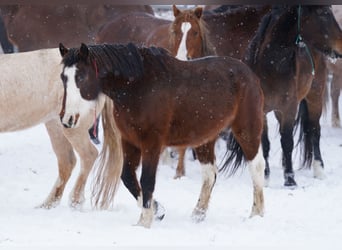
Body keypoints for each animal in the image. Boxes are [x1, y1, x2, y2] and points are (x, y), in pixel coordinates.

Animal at [0, 48, 106, 209]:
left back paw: (75, 201)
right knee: (67, 161)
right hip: (55, 124)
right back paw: (47, 205)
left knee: (89, 155)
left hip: (73, 126)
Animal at [58, 43, 266, 229]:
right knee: (210, 174)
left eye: (81, 76)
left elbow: (147, 180)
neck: (136, 87)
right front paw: (157, 210)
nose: (66, 118)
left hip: (247, 130)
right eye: (63, 77)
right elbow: (128, 177)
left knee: (256, 166)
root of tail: (250, 74)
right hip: (204, 139)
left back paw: (257, 214)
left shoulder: (152, 143)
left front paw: (145, 221)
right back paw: (198, 214)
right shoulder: (130, 141)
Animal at [244, 4, 342, 187]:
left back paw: (319, 170)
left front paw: (290, 179)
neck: (270, 65)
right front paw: (265, 178)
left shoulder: (289, 107)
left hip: (315, 97)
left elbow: (287, 142)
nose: (340, 46)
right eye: (322, 13)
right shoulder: (262, 110)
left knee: (314, 131)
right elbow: (265, 143)